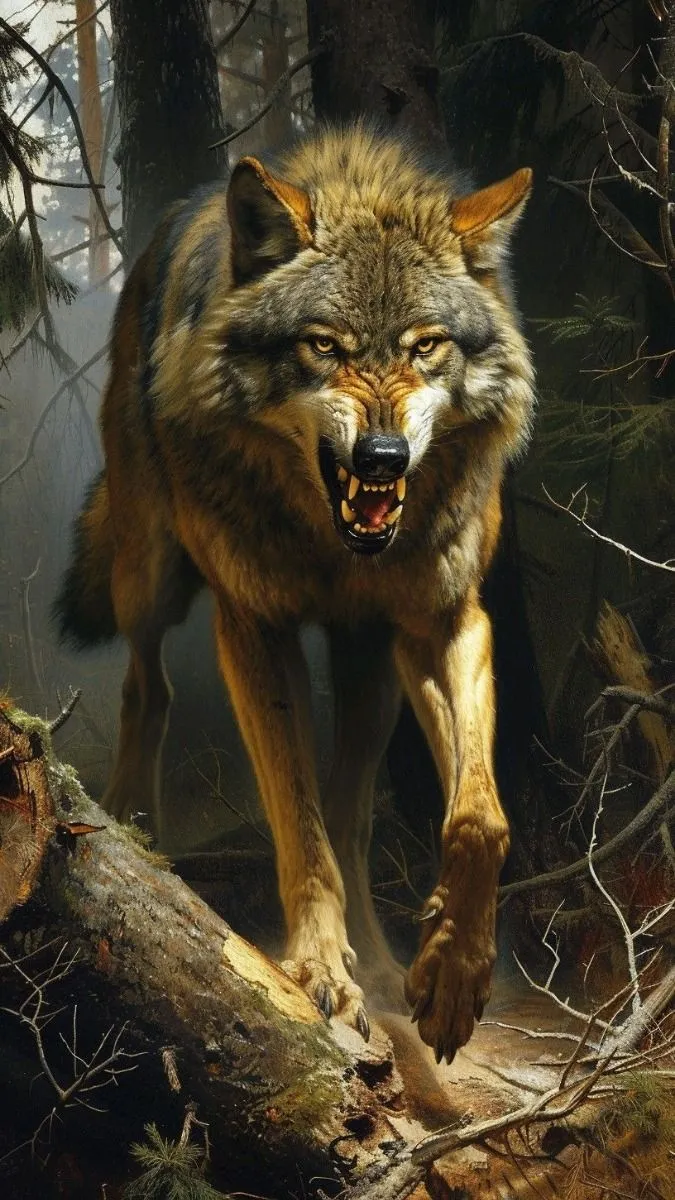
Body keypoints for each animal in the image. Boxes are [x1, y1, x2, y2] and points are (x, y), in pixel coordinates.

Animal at [55, 126, 535, 1063]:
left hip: (372, 675)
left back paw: (383, 966)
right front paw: (315, 972)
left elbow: (478, 819)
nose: (383, 457)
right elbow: (296, 821)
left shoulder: (447, 621)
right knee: (146, 685)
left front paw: (450, 977)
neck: (336, 546)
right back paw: (129, 819)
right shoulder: (255, 628)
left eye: (426, 346)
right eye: (325, 345)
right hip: (149, 575)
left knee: (353, 816)